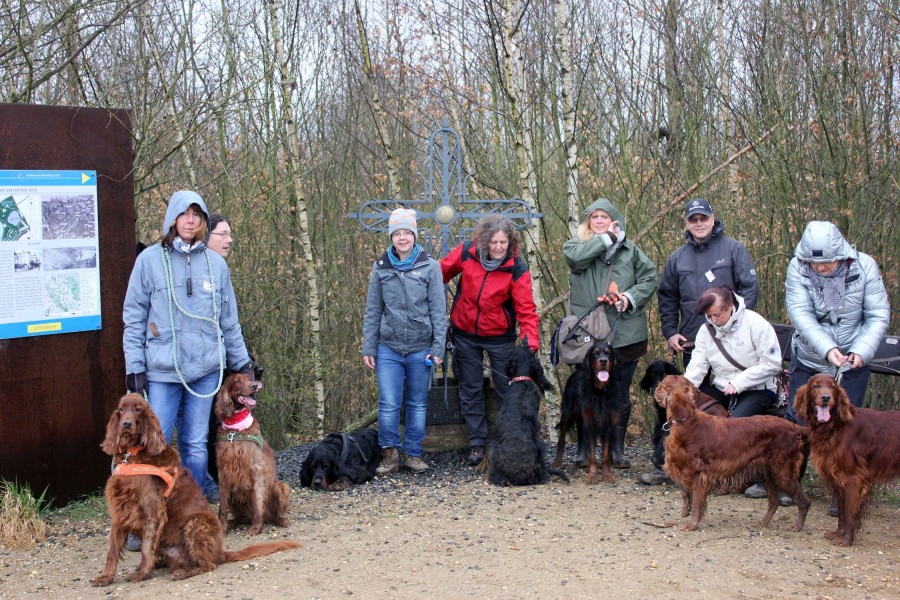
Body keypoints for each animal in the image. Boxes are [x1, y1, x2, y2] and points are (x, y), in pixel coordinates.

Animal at [92, 393, 299, 586]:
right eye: (121, 409)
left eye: (138, 409)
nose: (126, 424)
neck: (131, 455)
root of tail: (221, 552)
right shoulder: (120, 510)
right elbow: (112, 550)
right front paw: (105, 577)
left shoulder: (153, 512)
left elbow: (145, 548)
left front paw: (142, 573)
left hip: (195, 522)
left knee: (208, 565)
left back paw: (182, 572)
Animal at [214, 372, 291, 534]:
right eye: (237, 381)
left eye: (249, 379)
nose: (254, 386)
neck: (235, 430)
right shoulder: (224, 473)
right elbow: (222, 506)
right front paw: (222, 527)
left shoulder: (256, 470)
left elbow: (257, 501)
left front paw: (256, 527)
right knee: (238, 516)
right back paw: (233, 522)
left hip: (280, 487)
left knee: (275, 514)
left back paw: (281, 520)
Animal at [552, 340, 618, 484]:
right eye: (595, 353)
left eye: (609, 353)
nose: (603, 361)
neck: (599, 391)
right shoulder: (589, 422)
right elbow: (591, 453)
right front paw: (592, 475)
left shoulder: (607, 423)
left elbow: (605, 453)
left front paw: (606, 474)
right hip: (568, 413)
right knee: (561, 439)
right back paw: (556, 462)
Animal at [658, 375, 810, 531]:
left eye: (664, 383)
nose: (656, 390)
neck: (686, 419)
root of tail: (794, 427)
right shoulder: (686, 469)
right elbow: (686, 493)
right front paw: (685, 511)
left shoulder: (698, 474)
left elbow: (696, 503)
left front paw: (692, 525)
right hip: (767, 473)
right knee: (774, 501)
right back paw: (763, 523)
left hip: (782, 473)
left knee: (804, 502)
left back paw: (797, 526)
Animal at [794, 373, 900, 546]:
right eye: (815, 386)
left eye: (833, 387)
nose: (826, 397)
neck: (835, 426)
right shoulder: (837, 479)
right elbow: (842, 512)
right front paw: (837, 534)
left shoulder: (854, 479)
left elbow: (850, 511)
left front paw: (845, 540)